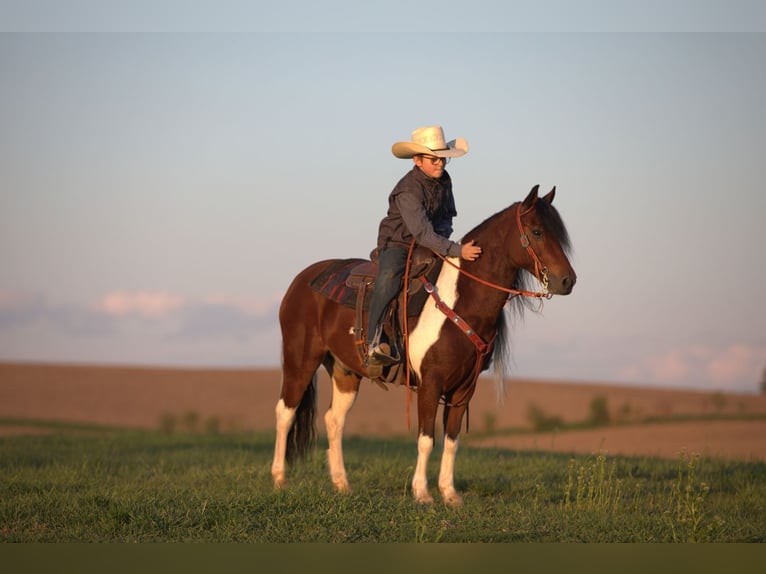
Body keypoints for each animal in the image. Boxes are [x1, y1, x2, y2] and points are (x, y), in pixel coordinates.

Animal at [271, 185, 576, 506]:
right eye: (537, 231)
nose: (567, 280)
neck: (461, 300)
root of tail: (302, 280)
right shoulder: (431, 383)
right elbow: (426, 439)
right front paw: (422, 493)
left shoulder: (464, 389)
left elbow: (452, 441)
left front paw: (450, 494)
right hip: (300, 361)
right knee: (285, 413)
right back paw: (279, 479)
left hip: (345, 371)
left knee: (334, 419)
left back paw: (342, 484)